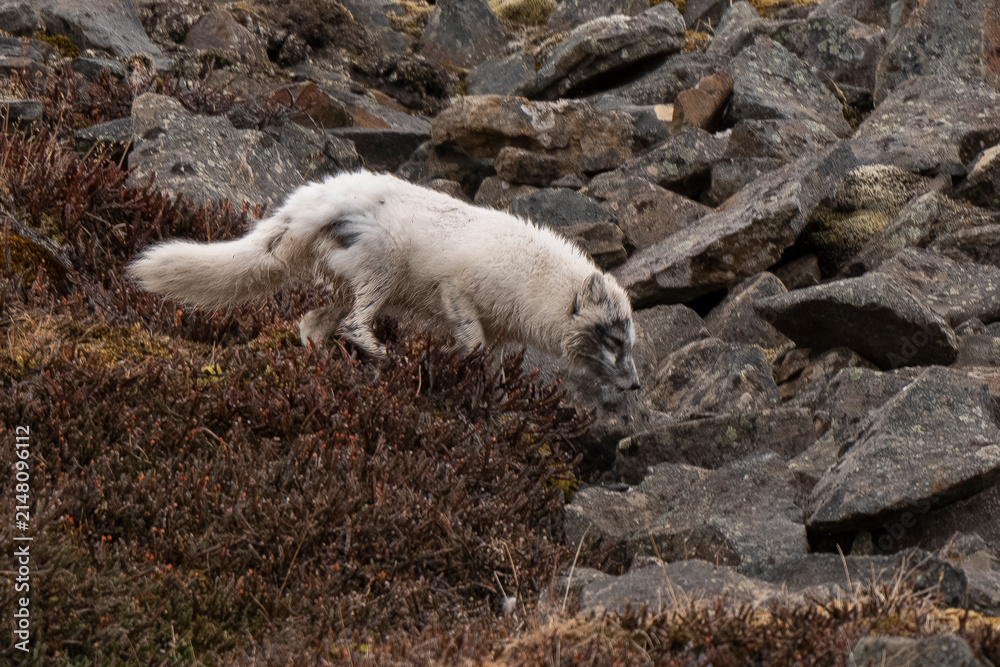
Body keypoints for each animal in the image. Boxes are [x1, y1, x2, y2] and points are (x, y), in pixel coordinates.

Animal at [127, 170, 641, 393]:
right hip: (383, 270)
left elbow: (491, 366)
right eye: (614, 339)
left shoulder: (501, 331)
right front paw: (456, 369)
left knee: (311, 322)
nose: (636, 387)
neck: (535, 283)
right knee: (353, 324)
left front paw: (491, 397)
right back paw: (386, 358)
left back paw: (324, 364)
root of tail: (307, 204)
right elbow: (472, 342)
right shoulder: (458, 291)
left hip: (347, 282)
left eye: (629, 342)